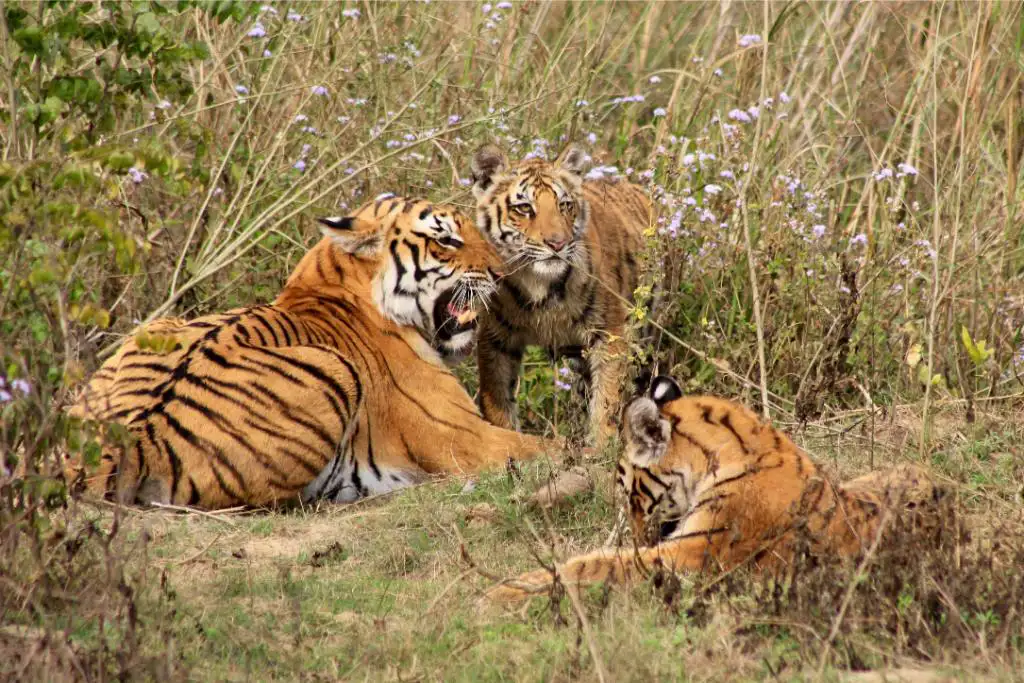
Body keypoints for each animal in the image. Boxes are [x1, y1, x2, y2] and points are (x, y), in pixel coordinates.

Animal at [67, 196, 559, 510]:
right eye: (447, 240)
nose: (502, 272)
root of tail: (130, 439)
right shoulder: (461, 434)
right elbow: (552, 446)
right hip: (334, 368)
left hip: (154, 330)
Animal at [470, 144, 652, 448]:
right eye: (524, 208)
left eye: (564, 205)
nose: (558, 243)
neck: (539, 284)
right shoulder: (495, 339)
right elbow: (497, 398)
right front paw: (507, 438)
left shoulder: (611, 333)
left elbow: (607, 400)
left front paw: (601, 448)